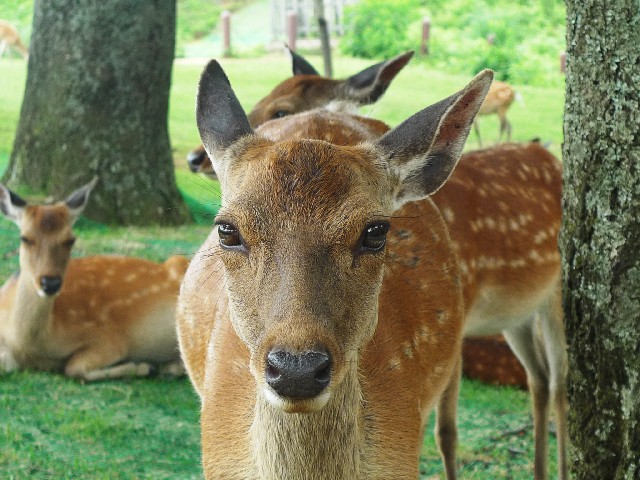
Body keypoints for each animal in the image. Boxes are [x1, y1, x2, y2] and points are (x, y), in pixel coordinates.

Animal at [0, 178, 189, 380]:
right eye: (24, 238)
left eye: (70, 240)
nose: (50, 283)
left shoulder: (108, 338)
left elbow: (73, 367)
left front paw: (143, 367)